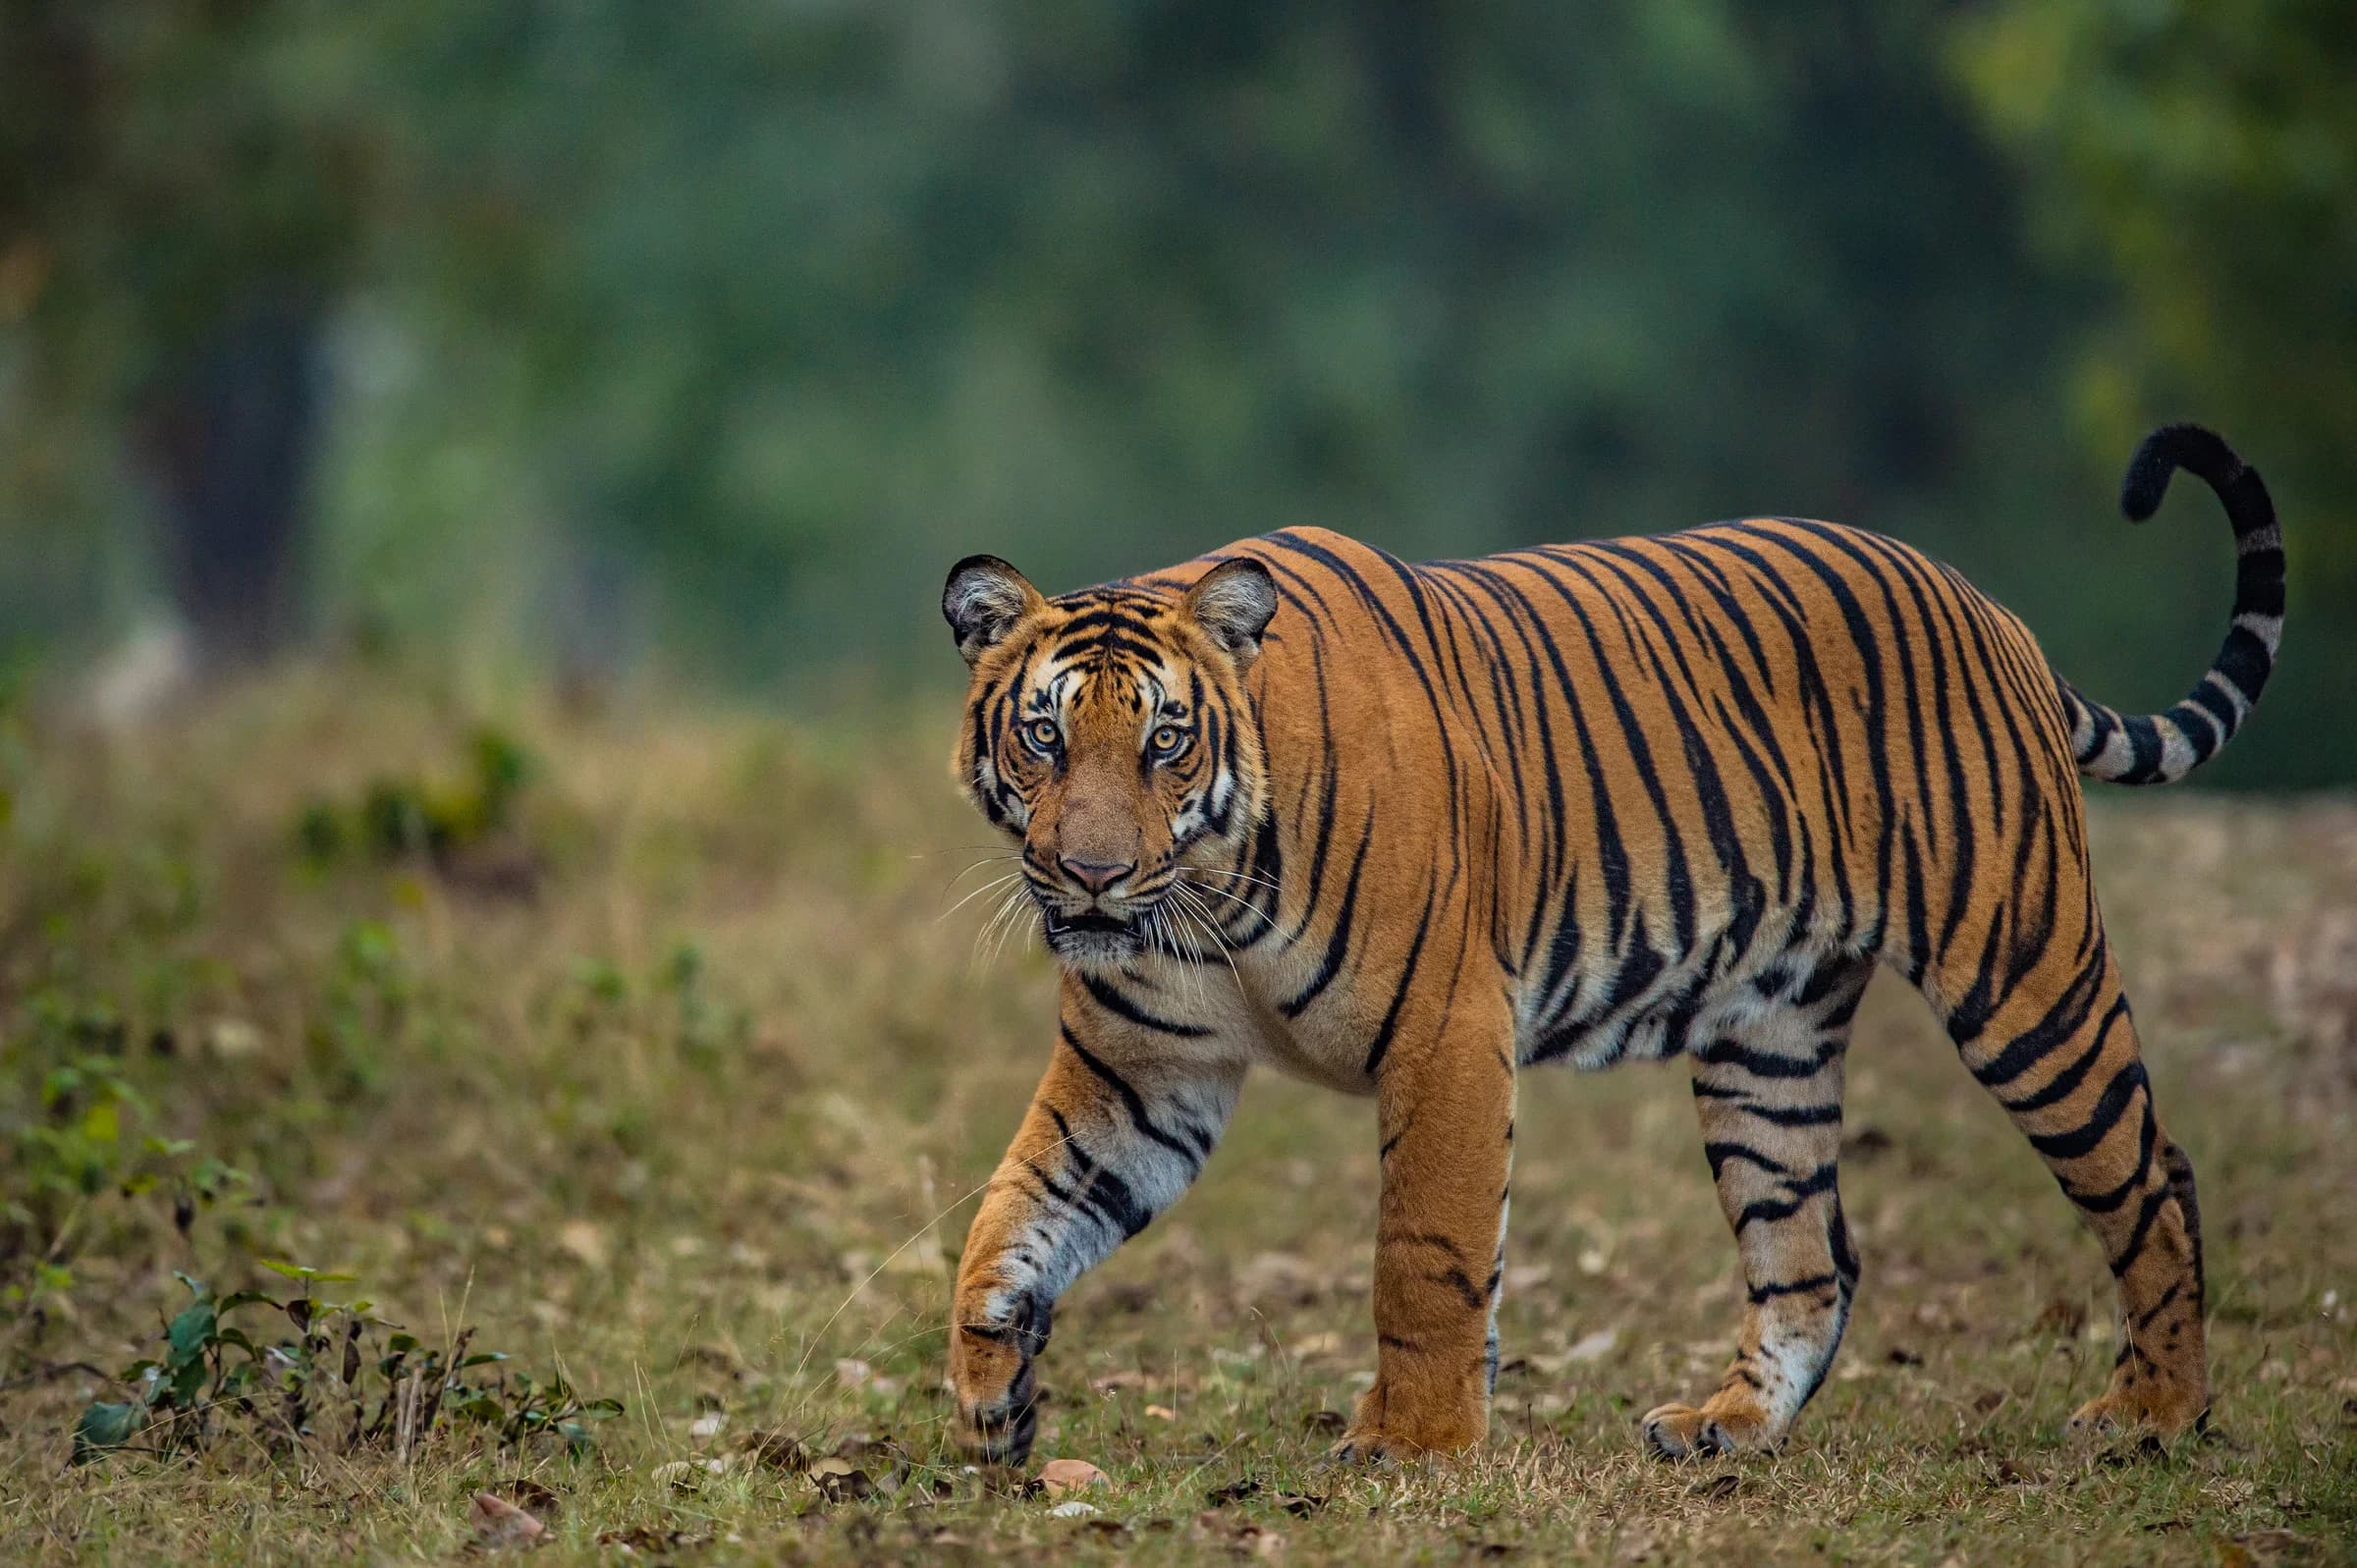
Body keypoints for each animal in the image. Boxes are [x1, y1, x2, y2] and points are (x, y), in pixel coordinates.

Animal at [938, 423, 2280, 1466]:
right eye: (1044, 737)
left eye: (1164, 741)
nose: (1093, 875)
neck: (1210, 901)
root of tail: (1991, 608)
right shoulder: (1141, 1072)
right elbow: (1011, 1217)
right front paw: (993, 1399)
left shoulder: (1447, 1032)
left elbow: (1425, 1250)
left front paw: (1414, 1443)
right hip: (1769, 1043)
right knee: (1810, 1251)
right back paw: (1729, 1426)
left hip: (2022, 974)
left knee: (2154, 1176)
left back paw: (2154, 1413)